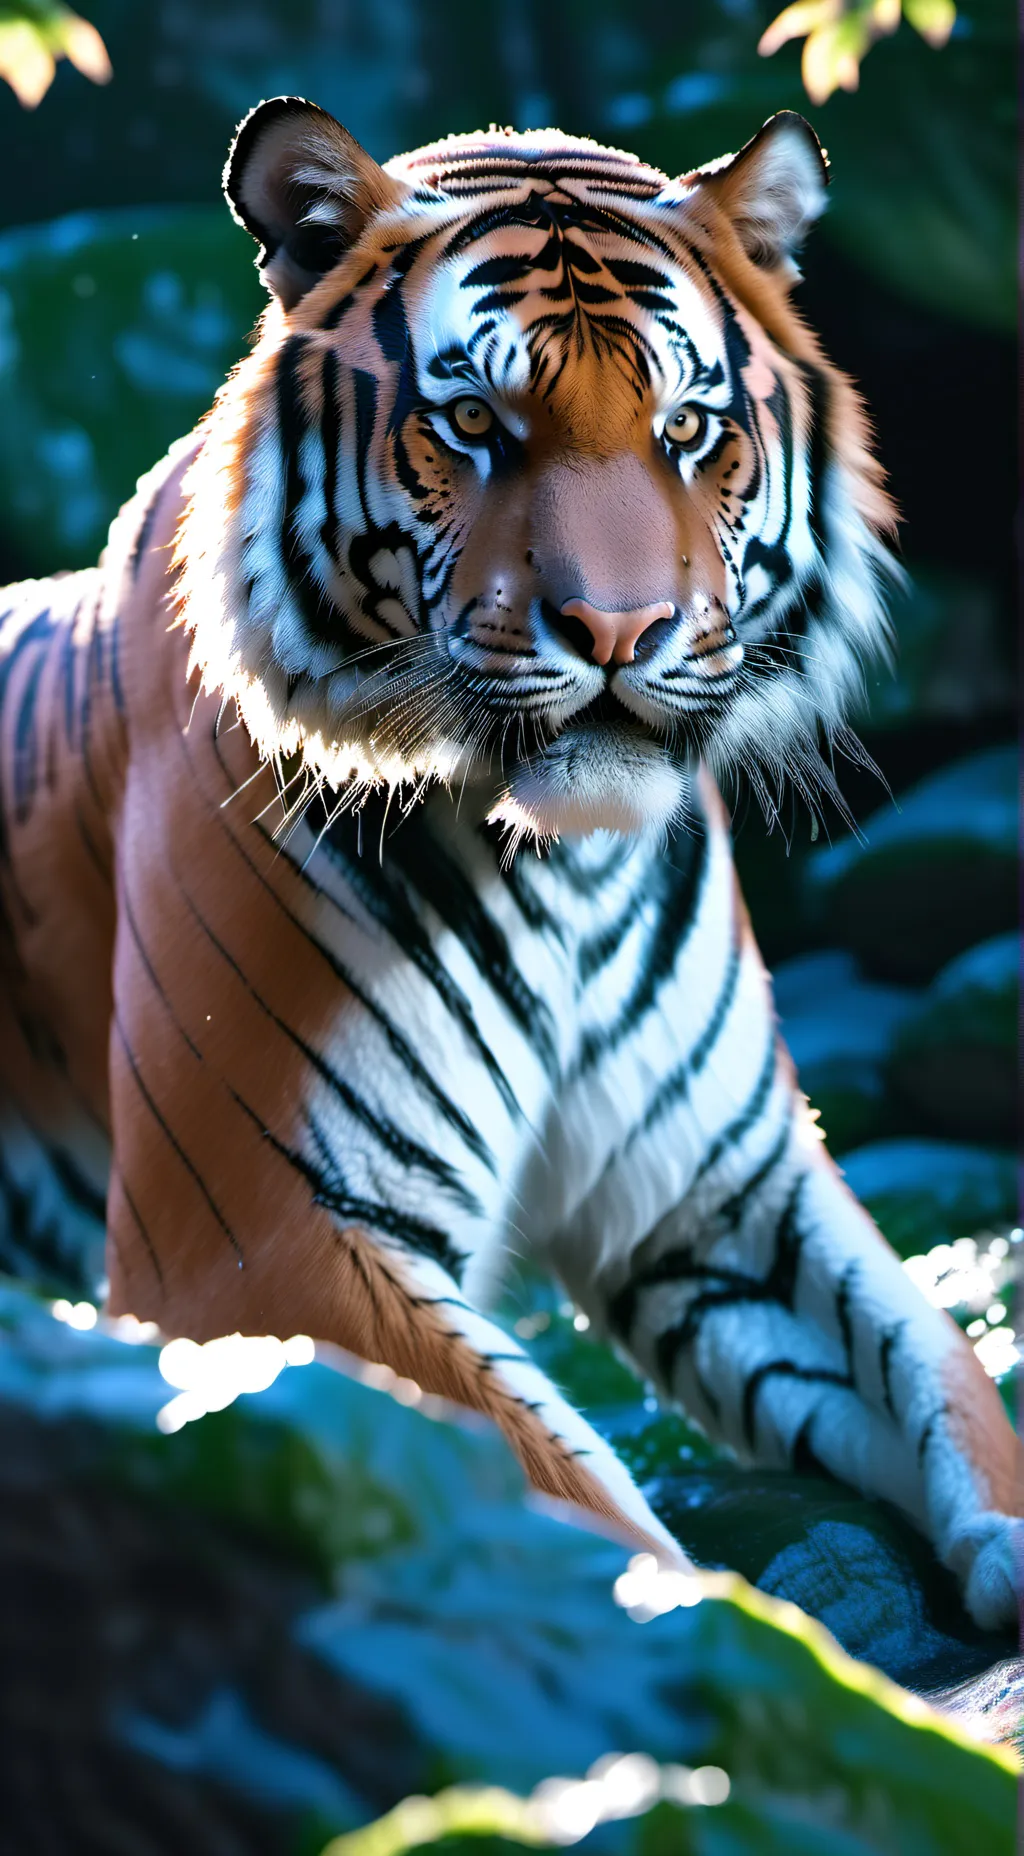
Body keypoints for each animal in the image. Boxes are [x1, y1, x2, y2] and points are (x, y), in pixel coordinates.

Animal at [0, 95, 1020, 1630]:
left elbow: (933, 1361)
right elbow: (562, 1485)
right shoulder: (256, 1241)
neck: (565, 875)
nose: (618, 631)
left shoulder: (722, 1192)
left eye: (688, 428)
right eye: (474, 421)